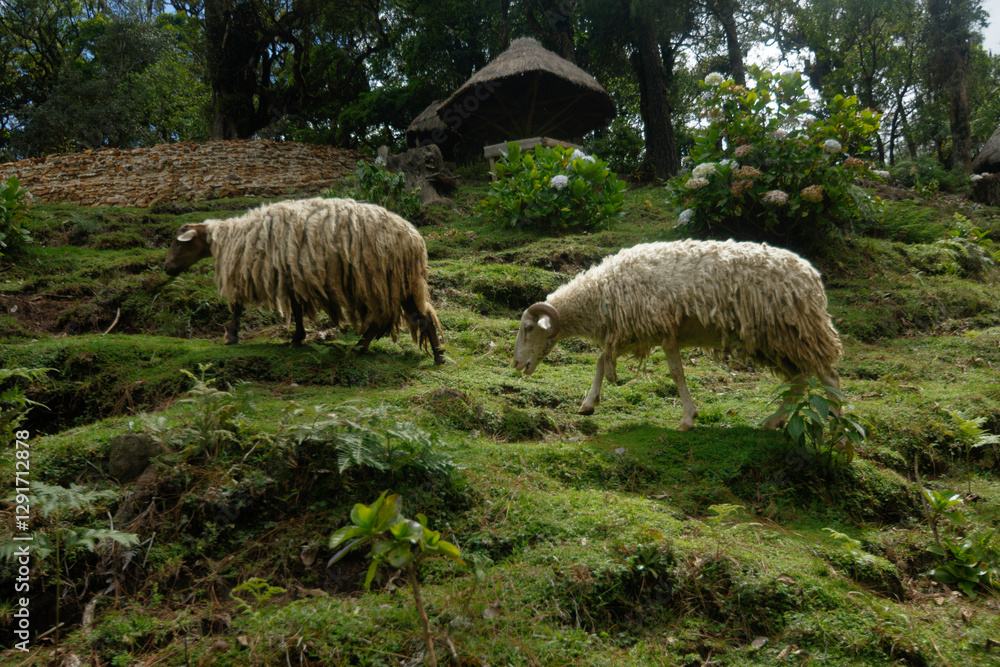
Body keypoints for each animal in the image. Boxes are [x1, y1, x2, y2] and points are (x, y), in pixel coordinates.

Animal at [164, 197, 445, 364]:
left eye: (177, 244)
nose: (166, 268)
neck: (231, 237)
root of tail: (415, 240)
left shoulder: (249, 271)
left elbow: (237, 307)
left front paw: (231, 336)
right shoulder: (290, 275)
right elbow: (297, 308)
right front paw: (298, 336)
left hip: (382, 280)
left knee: (391, 317)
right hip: (401, 282)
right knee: (420, 316)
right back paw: (433, 354)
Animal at [512, 239, 843, 430]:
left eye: (528, 329)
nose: (516, 364)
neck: (600, 292)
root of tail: (812, 276)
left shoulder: (657, 327)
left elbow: (674, 373)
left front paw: (687, 420)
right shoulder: (637, 331)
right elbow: (602, 362)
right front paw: (589, 404)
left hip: (798, 332)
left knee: (829, 378)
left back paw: (838, 430)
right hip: (777, 342)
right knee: (799, 381)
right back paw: (775, 421)